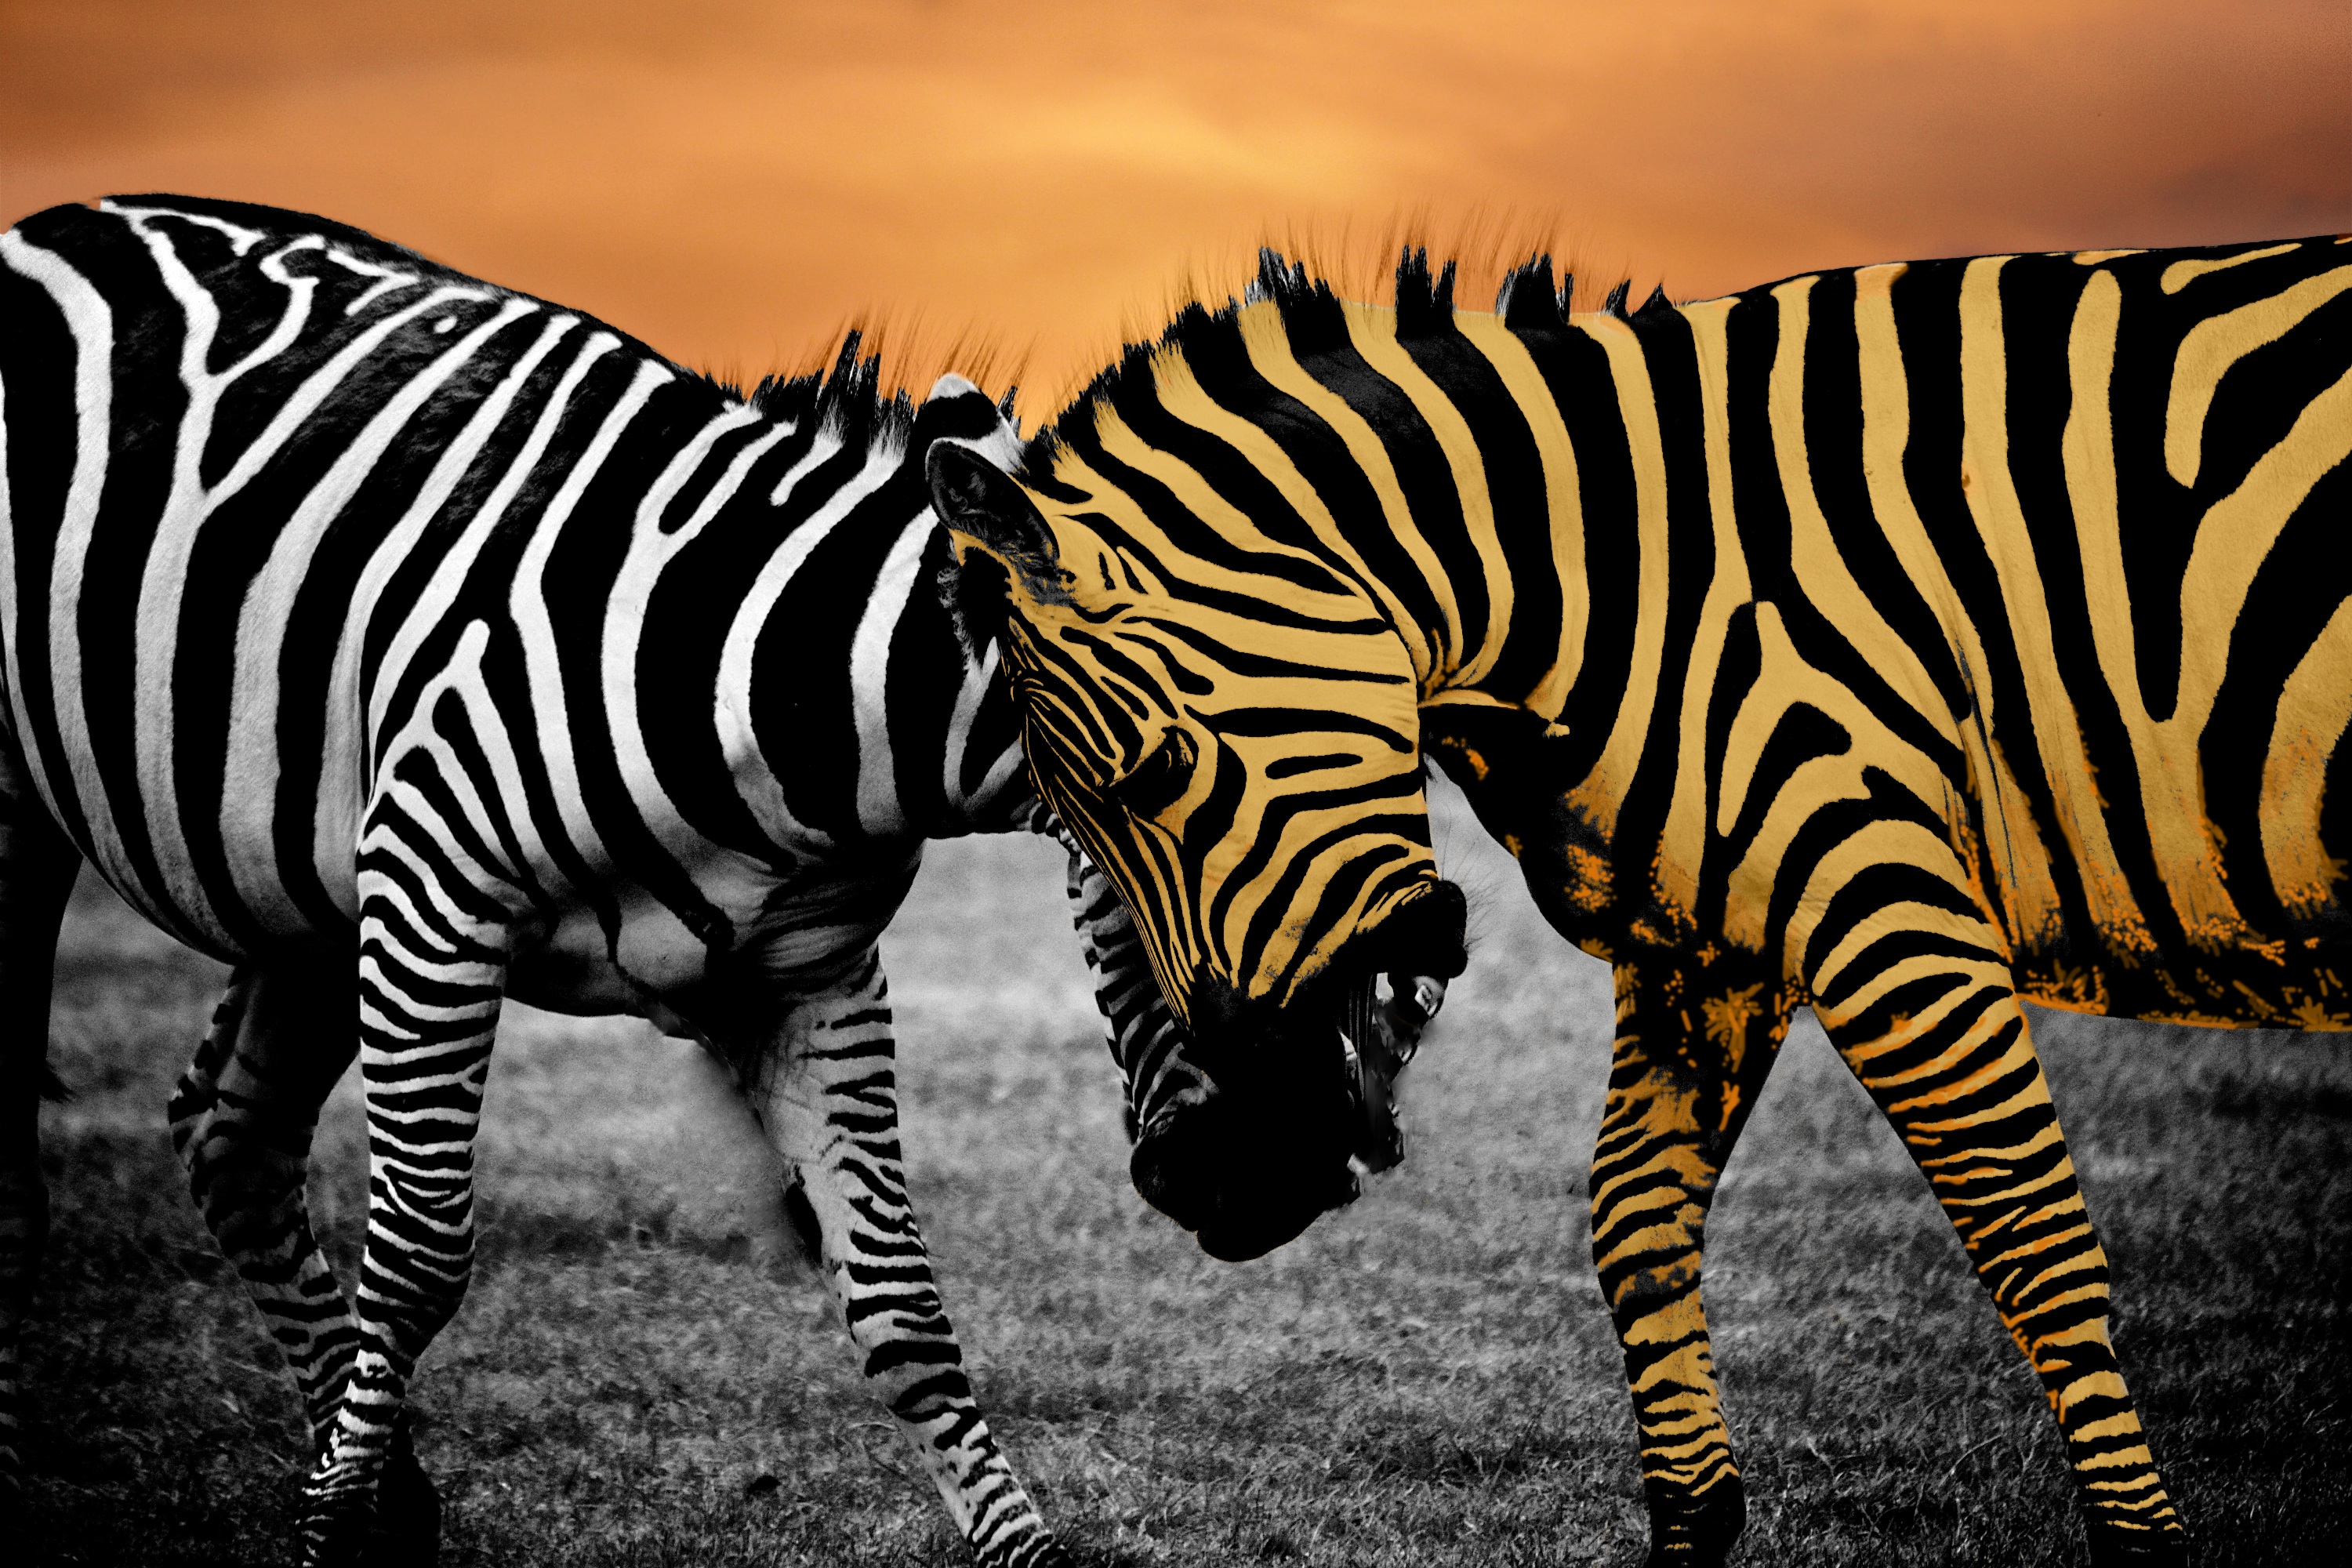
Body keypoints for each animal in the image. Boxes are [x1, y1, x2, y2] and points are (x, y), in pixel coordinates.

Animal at [0, 194, 1411, 1567]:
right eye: (1167, 793)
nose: (1289, 1177)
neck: (796, 702)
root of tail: (62, 220)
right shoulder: (432, 894)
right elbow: (417, 1256)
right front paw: (331, 1537)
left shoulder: (808, 977)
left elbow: (899, 1299)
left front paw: (1024, 1548)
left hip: (309, 890)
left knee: (230, 1137)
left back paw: (388, 1492)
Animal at [923, 235, 2352, 1565]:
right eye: (1064, 827)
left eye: (1156, 774)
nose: (1209, 1183)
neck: (1624, 575)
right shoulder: (1704, 946)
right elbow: (1633, 1224)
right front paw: (1693, 1520)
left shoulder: (1889, 902)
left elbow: (2032, 1239)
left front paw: (2141, 1541)